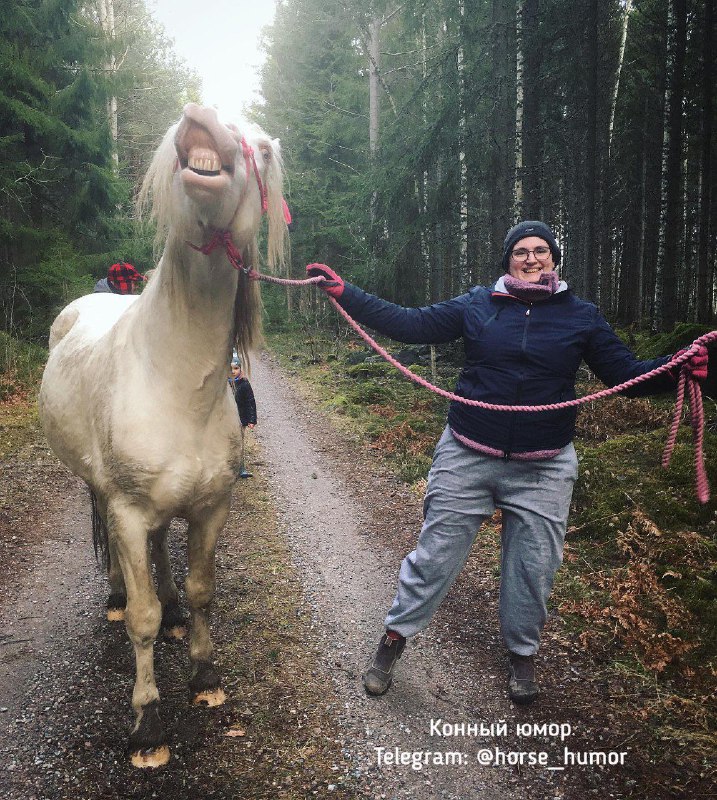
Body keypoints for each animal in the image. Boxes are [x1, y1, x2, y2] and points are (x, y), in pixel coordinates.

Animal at [38, 103, 288, 764]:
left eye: (262, 149)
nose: (200, 119)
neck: (177, 385)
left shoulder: (211, 506)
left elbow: (202, 590)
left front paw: (204, 676)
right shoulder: (126, 509)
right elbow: (142, 620)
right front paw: (147, 726)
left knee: (158, 552)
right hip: (101, 491)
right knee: (121, 554)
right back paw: (114, 597)